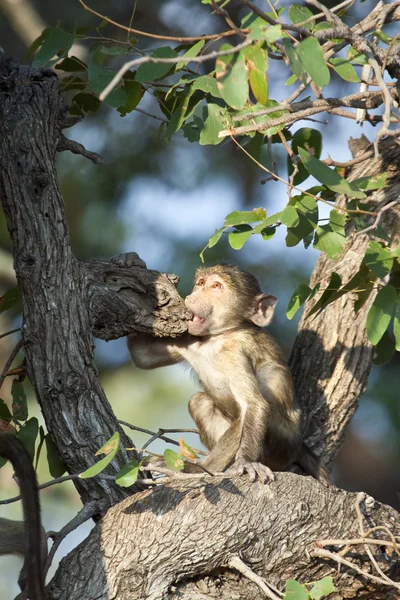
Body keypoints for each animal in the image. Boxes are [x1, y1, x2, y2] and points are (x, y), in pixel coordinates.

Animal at [111, 253, 328, 482]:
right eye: (201, 283)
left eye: (216, 286)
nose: (193, 296)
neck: (218, 337)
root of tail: (299, 446)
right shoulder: (188, 338)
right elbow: (141, 356)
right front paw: (130, 261)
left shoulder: (236, 352)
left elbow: (255, 404)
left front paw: (246, 462)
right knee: (200, 402)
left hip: (283, 445)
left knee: (247, 416)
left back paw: (201, 469)